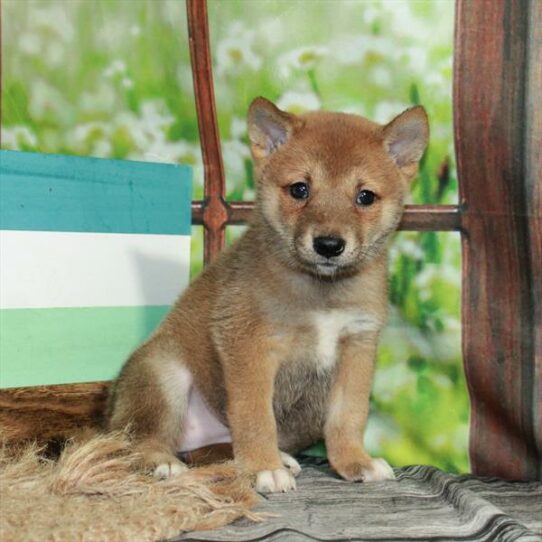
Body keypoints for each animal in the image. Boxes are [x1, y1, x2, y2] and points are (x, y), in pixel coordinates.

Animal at [107, 95, 430, 496]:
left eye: (365, 196)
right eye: (300, 189)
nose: (328, 245)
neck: (321, 293)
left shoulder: (357, 348)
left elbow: (348, 417)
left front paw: (355, 462)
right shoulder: (250, 345)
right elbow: (255, 417)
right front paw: (264, 468)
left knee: (205, 450)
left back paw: (277, 457)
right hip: (164, 376)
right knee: (139, 439)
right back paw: (162, 462)